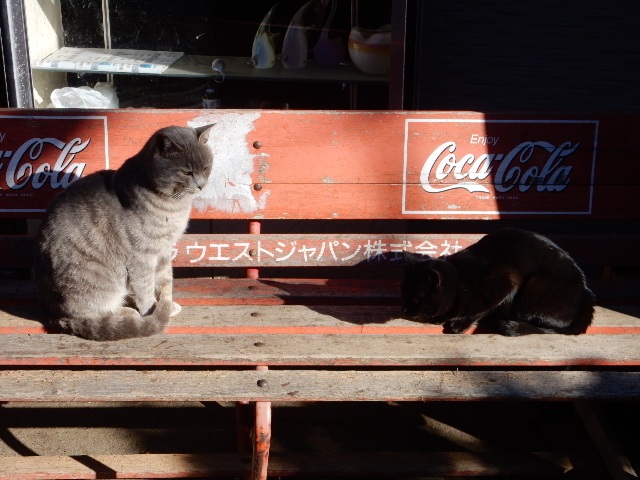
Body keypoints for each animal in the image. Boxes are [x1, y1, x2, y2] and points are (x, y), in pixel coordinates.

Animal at [34, 124, 214, 341]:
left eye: (206, 168)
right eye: (186, 172)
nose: (201, 185)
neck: (173, 204)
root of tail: (51, 314)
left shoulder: (163, 251)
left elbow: (165, 281)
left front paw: (167, 303)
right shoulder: (141, 256)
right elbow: (146, 287)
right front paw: (152, 312)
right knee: (89, 313)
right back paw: (127, 313)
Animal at [401, 228, 594, 336]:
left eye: (415, 299)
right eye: (403, 293)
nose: (404, 309)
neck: (460, 282)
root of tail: (586, 292)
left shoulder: (507, 279)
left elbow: (481, 309)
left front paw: (459, 324)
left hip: (535, 285)